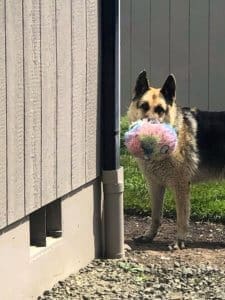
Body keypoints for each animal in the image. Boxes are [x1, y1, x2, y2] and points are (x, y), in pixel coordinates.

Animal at [126, 70, 225, 248]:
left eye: (160, 109)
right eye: (143, 106)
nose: (150, 126)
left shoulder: (181, 185)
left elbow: (181, 217)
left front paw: (179, 240)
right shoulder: (155, 185)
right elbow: (156, 215)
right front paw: (149, 236)